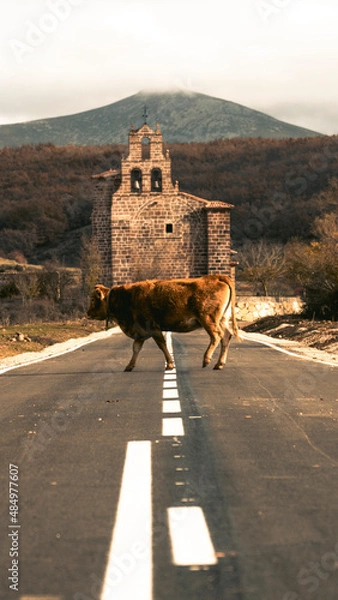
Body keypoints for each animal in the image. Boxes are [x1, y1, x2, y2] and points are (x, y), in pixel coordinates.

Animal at [87, 276, 240, 370]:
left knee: (217, 336)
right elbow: (136, 348)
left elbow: (161, 345)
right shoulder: (141, 333)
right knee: (226, 337)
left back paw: (206, 360)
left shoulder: (153, 329)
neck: (127, 297)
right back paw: (219, 364)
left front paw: (170, 364)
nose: (88, 313)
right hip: (222, 320)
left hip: (208, 320)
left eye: (93, 300)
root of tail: (216, 277)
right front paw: (129, 366)